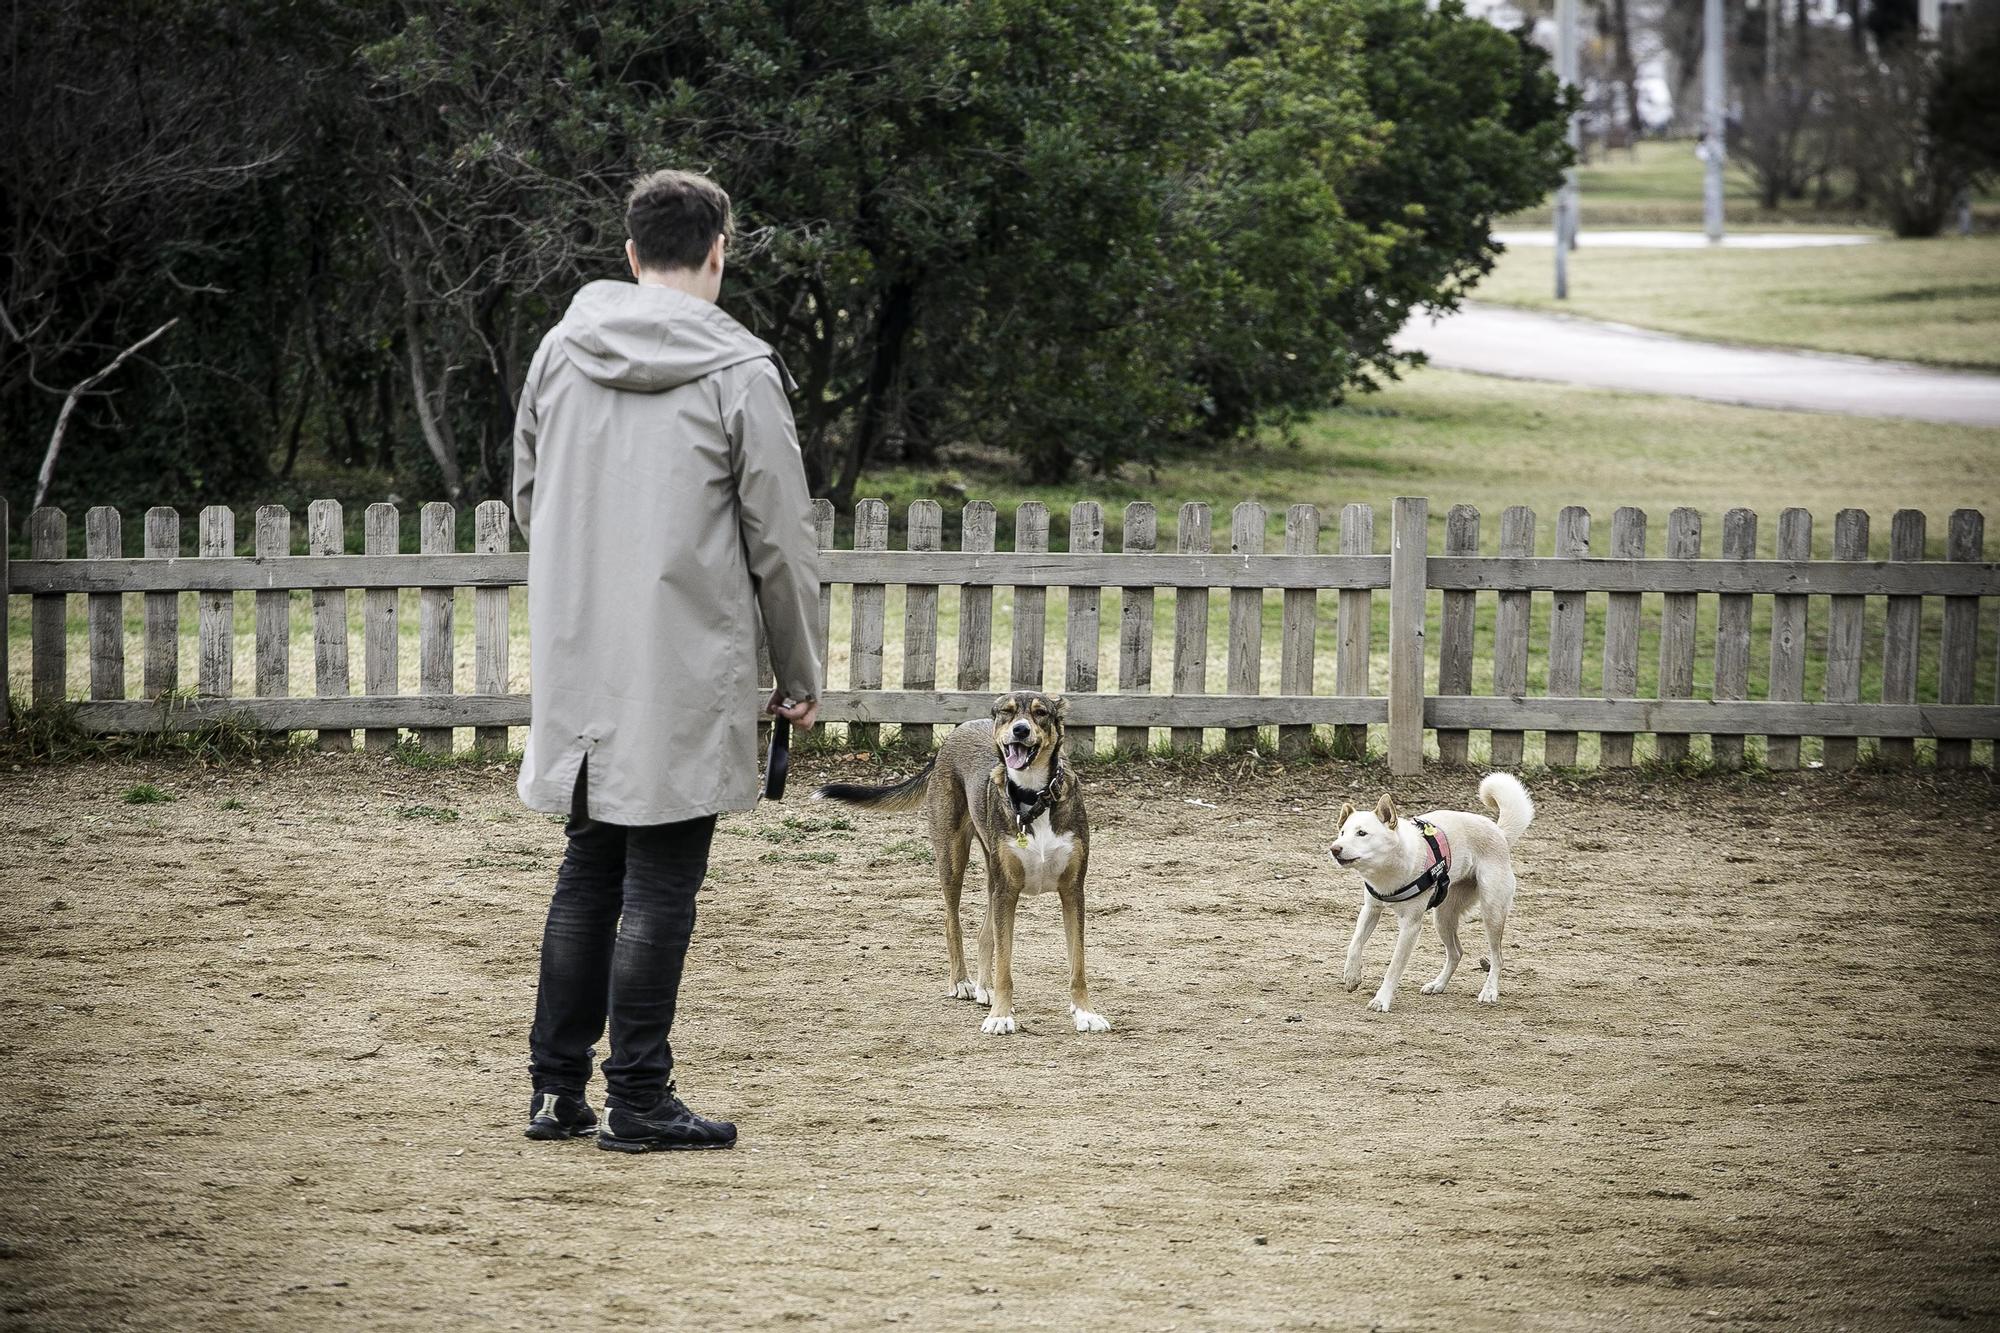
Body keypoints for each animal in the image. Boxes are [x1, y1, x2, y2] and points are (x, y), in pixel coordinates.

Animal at [1328, 768, 1528, 1008]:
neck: (1389, 870)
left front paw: (1381, 999)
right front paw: (1351, 976)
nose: (1334, 849)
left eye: (1362, 833)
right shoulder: (1370, 909)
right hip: (1443, 917)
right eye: (1342, 832)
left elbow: (1394, 967)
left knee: (1497, 958)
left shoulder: (1410, 926)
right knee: (1456, 953)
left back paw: (1489, 992)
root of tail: (1499, 832)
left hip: (1492, 912)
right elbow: (1355, 943)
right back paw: (1438, 985)